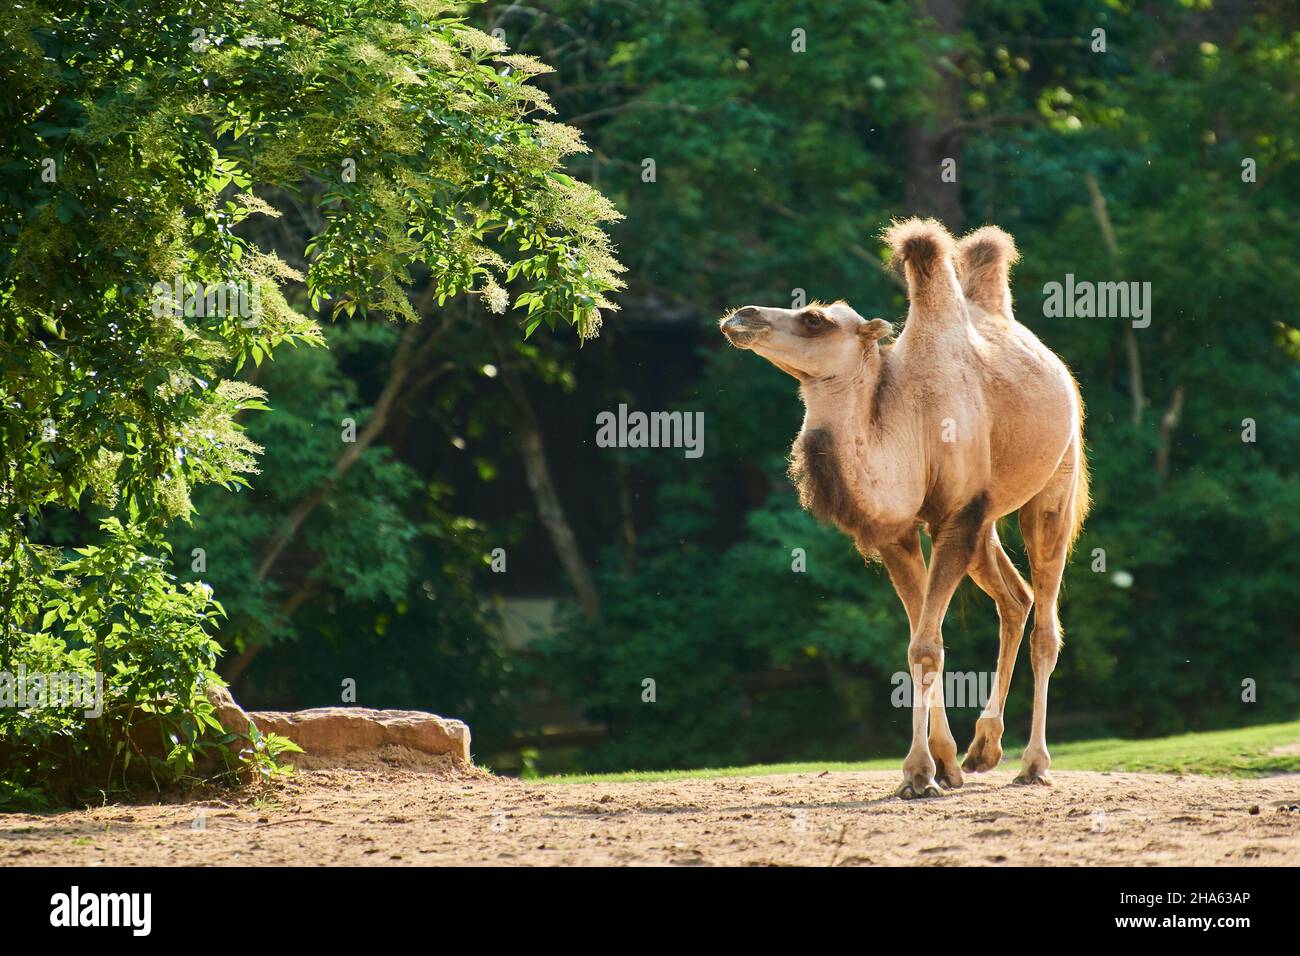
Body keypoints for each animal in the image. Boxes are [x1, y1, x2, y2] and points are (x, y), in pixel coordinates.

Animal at [722, 221, 1086, 796]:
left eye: (815, 318)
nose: (742, 315)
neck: (909, 423)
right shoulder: (899, 530)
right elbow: (919, 642)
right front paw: (943, 763)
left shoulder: (955, 517)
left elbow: (925, 646)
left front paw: (918, 773)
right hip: (986, 523)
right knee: (1016, 598)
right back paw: (984, 749)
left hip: (1054, 486)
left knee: (1045, 621)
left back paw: (1033, 764)